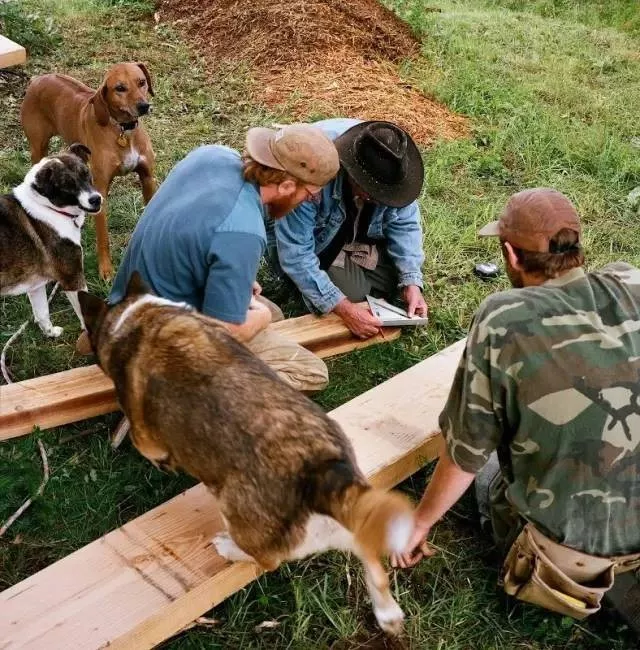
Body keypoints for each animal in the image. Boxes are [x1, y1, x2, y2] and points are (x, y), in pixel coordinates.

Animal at [0, 144, 102, 336]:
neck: (48, 207)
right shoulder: (72, 278)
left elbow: (42, 313)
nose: (96, 199)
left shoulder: (35, 286)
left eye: (86, 173)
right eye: (67, 185)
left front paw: (50, 333)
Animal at [21, 61, 156, 280]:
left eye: (142, 82)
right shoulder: (100, 192)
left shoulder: (148, 178)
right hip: (37, 147)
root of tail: (38, 79)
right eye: (120, 88)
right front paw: (106, 270)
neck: (122, 130)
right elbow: (103, 238)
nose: (143, 106)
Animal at [79, 270, 416, 632]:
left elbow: (147, 446)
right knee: (368, 558)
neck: (137, 316)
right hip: (345, 519)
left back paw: (227, 548)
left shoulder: (145, 435)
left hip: (239, 515)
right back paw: (387, 613)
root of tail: (321, 470)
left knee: (267, 559)